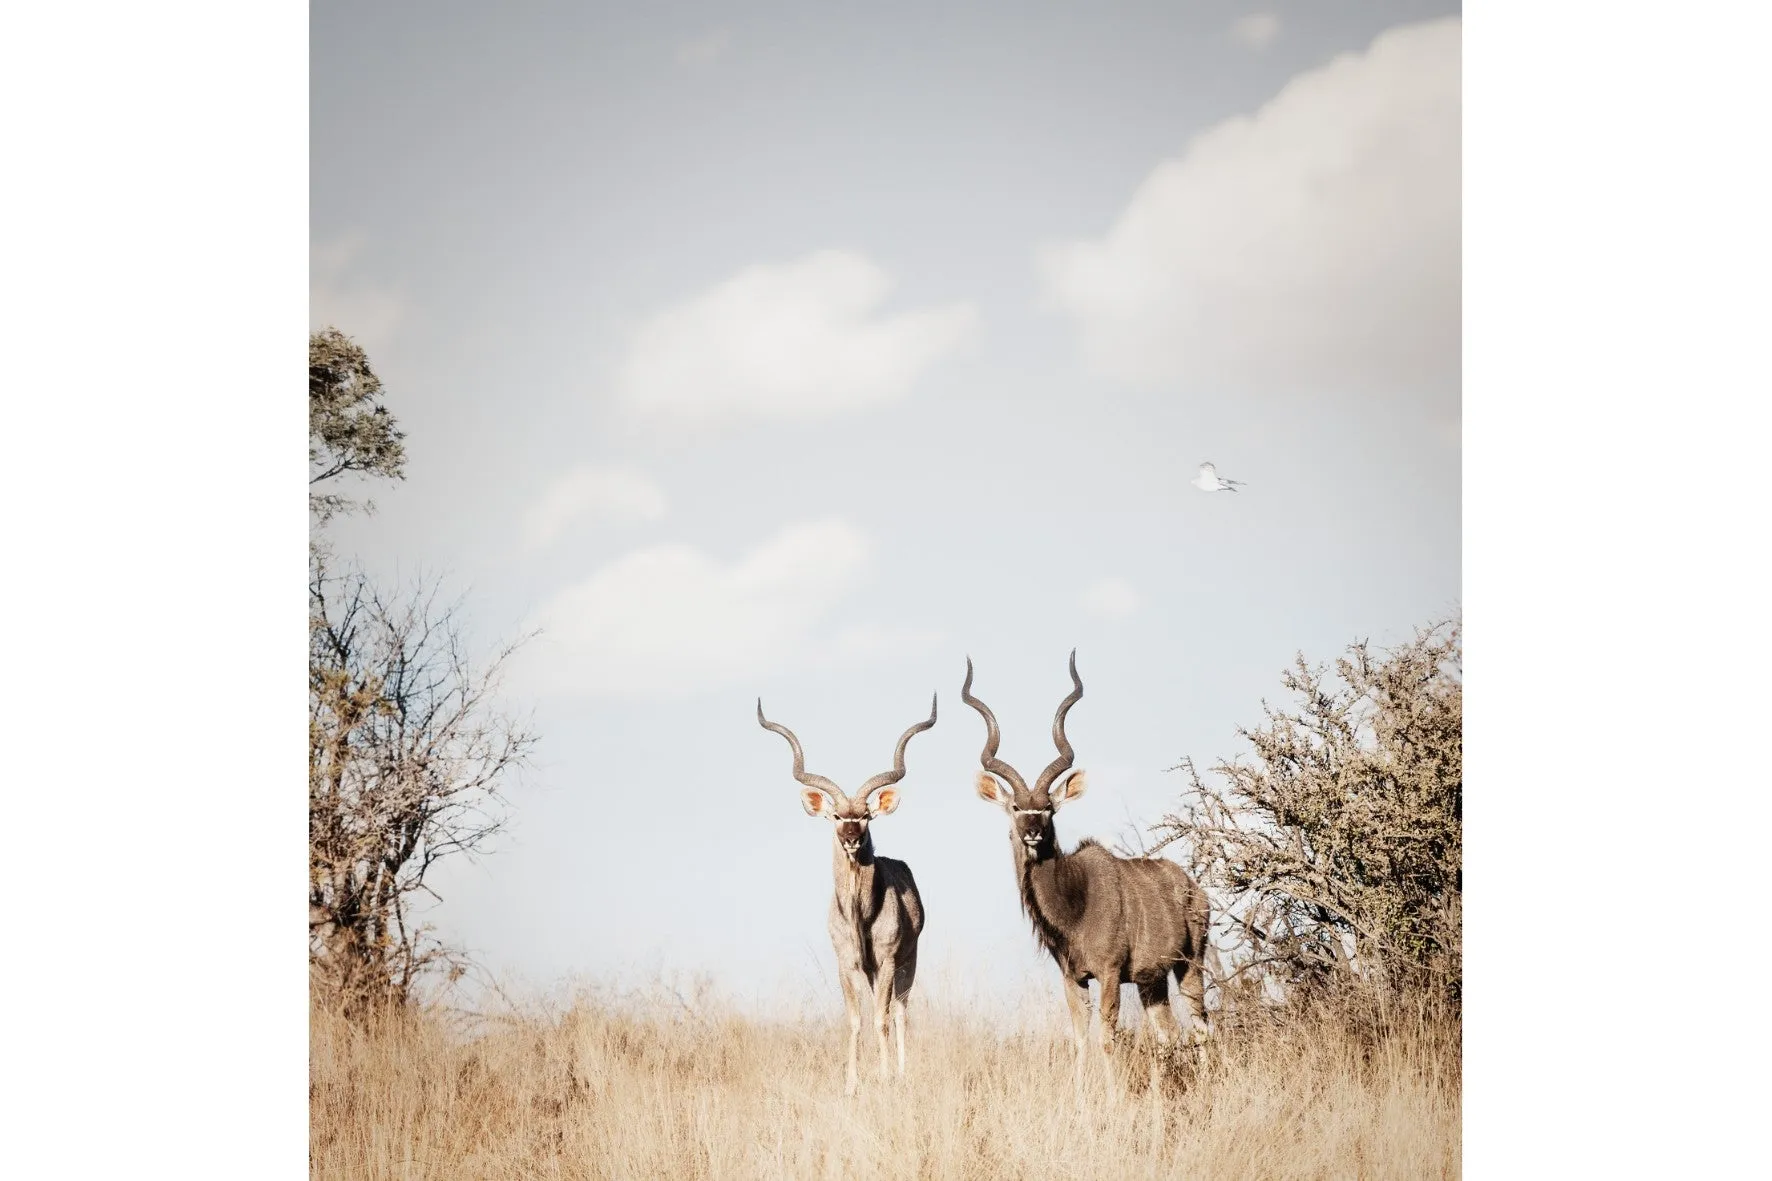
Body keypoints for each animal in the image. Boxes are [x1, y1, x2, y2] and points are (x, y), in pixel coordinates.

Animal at [754, 695, 935, 1092]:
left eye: (866, 815)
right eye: (837, 816)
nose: (852, 838)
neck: (860, 915)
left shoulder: (887, 960)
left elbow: (882, 1019)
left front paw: (885, 1078)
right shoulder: (847, 963)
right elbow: (855, 1020)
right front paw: (852, 1084)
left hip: (907, 963)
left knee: (900, 1013)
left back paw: (900, 1072)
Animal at [963, 649, 1212, 1078]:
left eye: (1048, 808)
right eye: (1016, 807)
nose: (1032, 832)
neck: (1074, 904)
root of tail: (1196, 890)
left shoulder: (1110, 973)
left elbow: (1106, 1040)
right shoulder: (1073, 978)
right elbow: (1079, 1041)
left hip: (1190, 964)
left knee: (1202, 1026)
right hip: (1152, 982)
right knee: (1169, 1033)